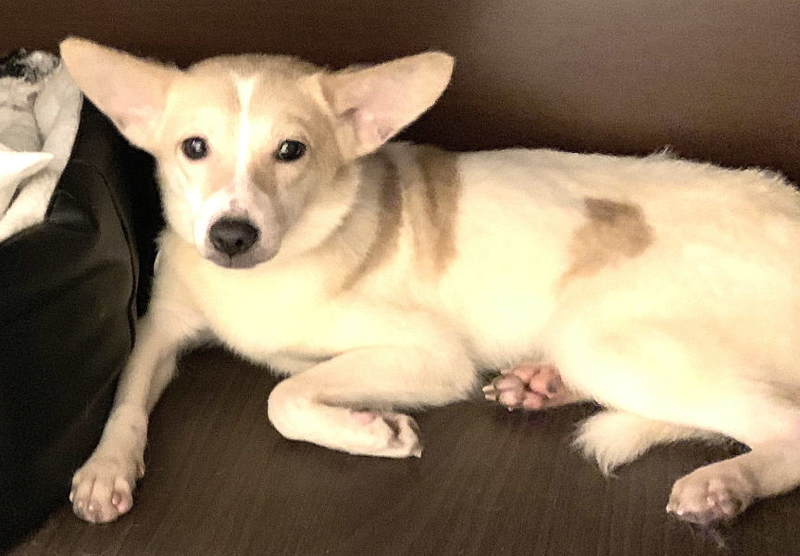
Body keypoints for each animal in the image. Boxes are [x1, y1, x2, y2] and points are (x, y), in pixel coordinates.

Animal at [60, 37, 800, 527]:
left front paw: (372, 432)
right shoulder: (160, 327)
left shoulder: (433, 358)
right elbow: (127, 394)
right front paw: (104, 469)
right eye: (193, 148)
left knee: (782, 425)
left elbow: (284, 396)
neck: (267, 275)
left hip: (605, 338)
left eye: (292, 151)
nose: (231, 236)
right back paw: (539, 385)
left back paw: (726, 483)